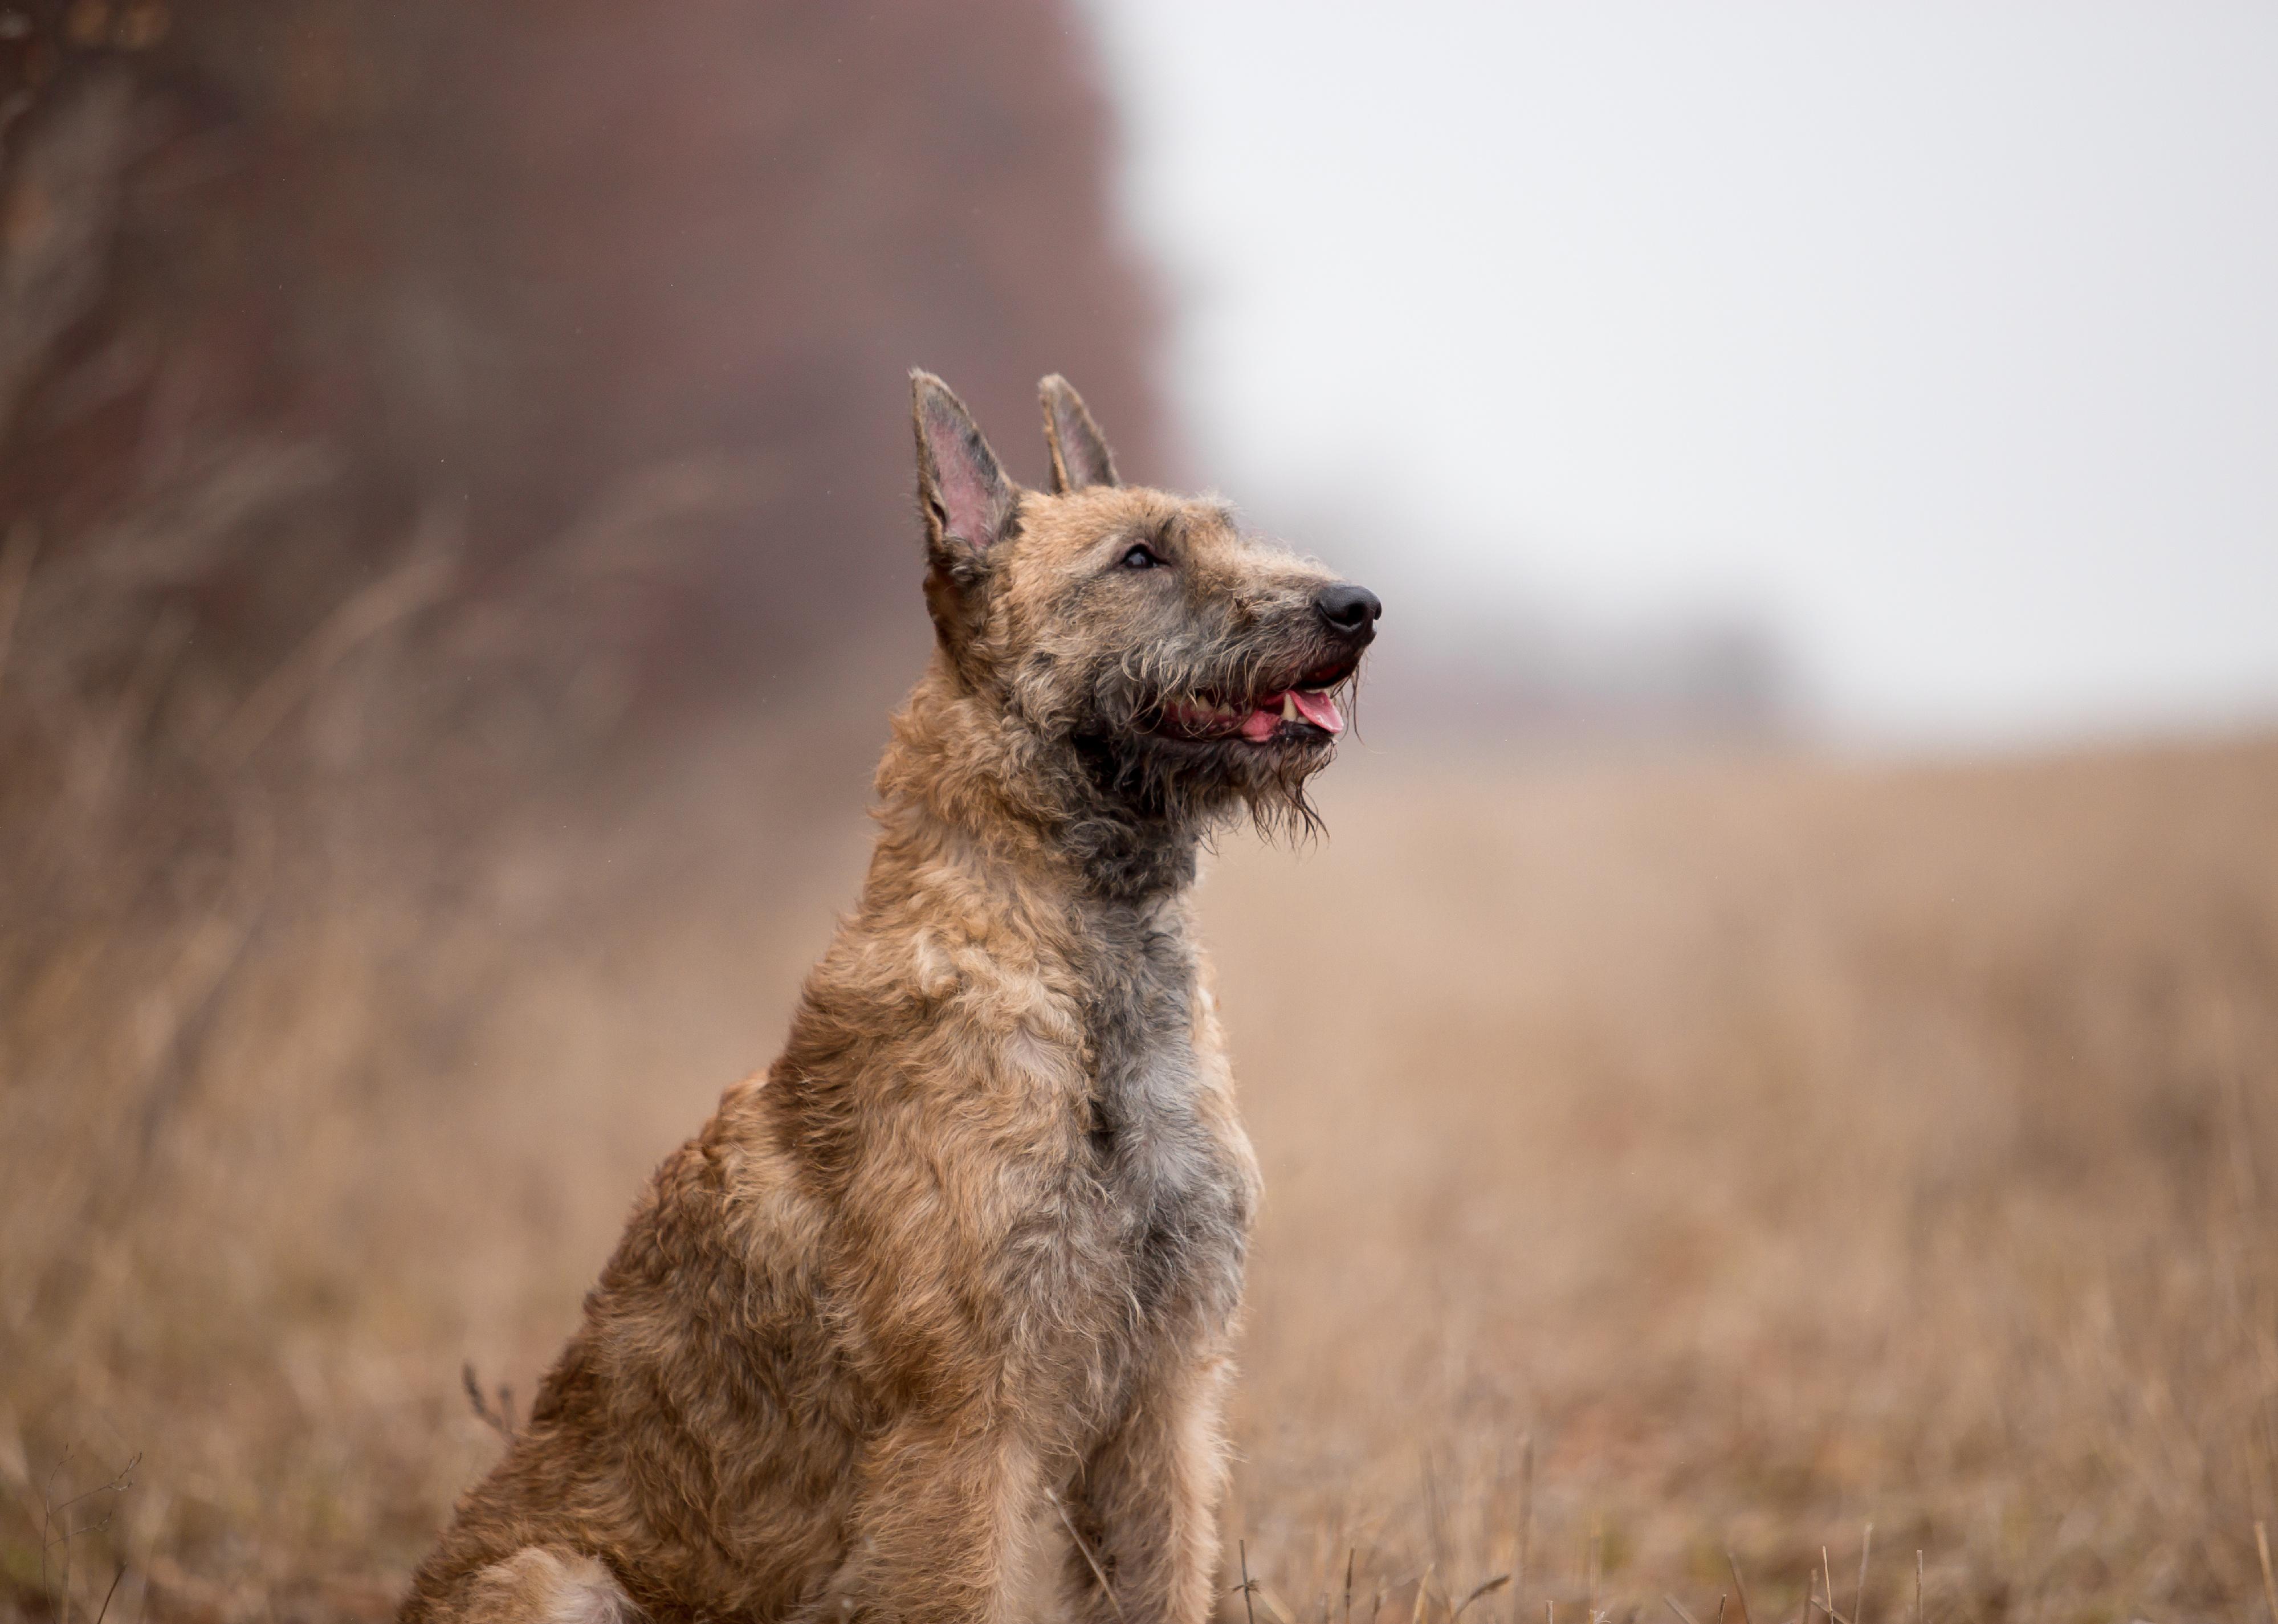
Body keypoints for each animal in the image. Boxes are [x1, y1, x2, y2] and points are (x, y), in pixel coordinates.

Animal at [398, 371, 1376, 1622]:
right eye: (1140, 557)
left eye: (1222, 529)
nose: (1357, 607)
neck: (1080, 961)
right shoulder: (965, 1428)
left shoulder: (1163, 1402)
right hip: (549, 1580)